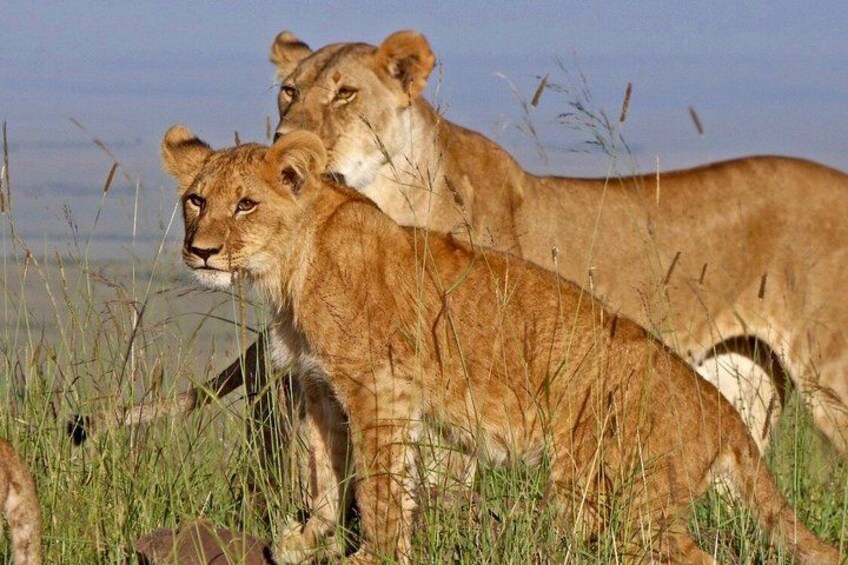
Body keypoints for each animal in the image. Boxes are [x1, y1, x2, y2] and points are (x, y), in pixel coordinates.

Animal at [161, 126, 840, 564]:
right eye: (196, 200)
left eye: (246, 204)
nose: (201, 250)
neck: (290, 269)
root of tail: (718, 409)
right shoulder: (321, 387)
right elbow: (325, 475)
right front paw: (308, 540)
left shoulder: (381, 387)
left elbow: (380, 485)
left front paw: (374, 554)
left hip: (614, 494)